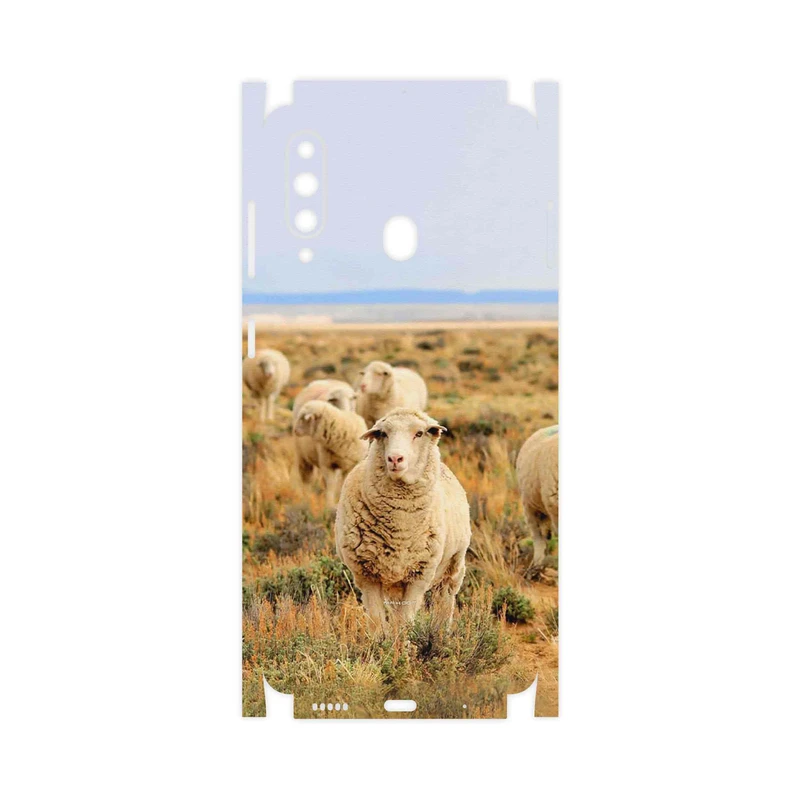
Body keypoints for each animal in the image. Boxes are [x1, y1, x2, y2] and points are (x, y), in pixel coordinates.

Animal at [335, 408, 471, 633]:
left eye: (419, 433)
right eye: (383, 434)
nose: (395, 458)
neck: (400, 527)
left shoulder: (419, 575)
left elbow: (405, 621)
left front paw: (403, 642)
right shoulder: (366, 574)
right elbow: (377, 621)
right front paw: (381, 641)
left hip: (453, 566)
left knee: (444, 600)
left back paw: (441, 633)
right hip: (394, 582)